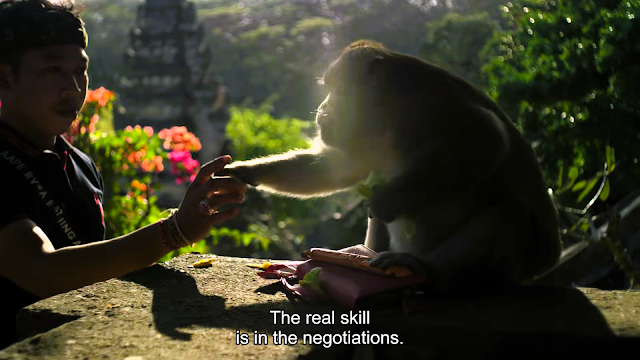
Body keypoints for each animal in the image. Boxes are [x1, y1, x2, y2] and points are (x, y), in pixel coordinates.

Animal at [218, 38, 564, 292]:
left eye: (337, 89)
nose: (322, 107)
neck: (383, 117)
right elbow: (341, 168)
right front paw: (244, 171)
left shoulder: (421, 104)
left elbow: (487, 138)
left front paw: (391, 199)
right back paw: (362, 254)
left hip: (512, 265)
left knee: (507, 210)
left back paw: (428, 268)